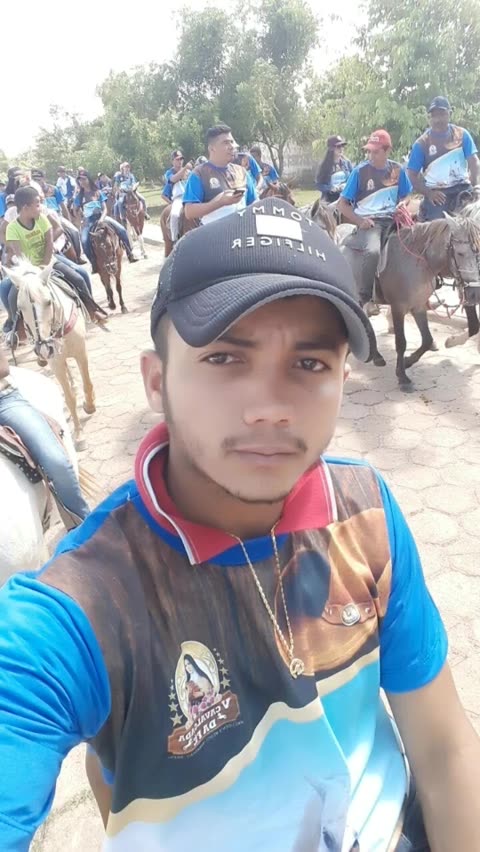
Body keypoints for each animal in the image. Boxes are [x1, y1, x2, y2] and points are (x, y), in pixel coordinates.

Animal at [7, 260, 96, 448]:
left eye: (48, 302)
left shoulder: (81, 351)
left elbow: (87, 383)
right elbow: (69, 398)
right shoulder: (55, 362)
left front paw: (90, 405)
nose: (42, 349)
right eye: (20, 308)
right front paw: (79, 435)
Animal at [360, 217, 480, 388]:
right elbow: (401, 342)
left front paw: (407, 362)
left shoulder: (418, 305)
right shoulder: (398, 307)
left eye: (478, 253)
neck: (416, 263)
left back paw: (376, 355)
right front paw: (402, 376)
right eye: (460, 253)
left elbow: (427, 340)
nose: (475, 293)